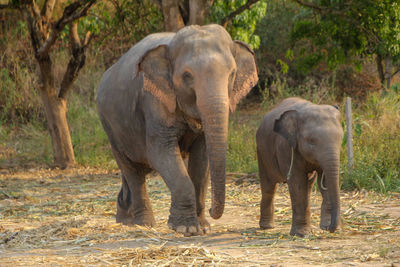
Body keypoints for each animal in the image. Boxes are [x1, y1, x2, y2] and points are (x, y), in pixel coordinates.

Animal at [98, 23, 258, 237]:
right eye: (187, 76)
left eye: (232, 73)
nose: (211, 210)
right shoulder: (154, 101)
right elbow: (160, 153)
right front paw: (186, 229)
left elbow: (201, 159)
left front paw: (203, 227)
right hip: (110, 127)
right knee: (132, 170)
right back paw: (143, 224)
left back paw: (124, 219)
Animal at [256, 97, 344, 238]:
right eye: (311, 141)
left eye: (341, 139)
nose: (330, 229)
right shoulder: (285, 147)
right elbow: (297, 182)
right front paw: (302, 234)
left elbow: (324, 181)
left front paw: (326, 227)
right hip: (261, 151)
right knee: (269, 186)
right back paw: (267, 227)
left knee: (308, 186)